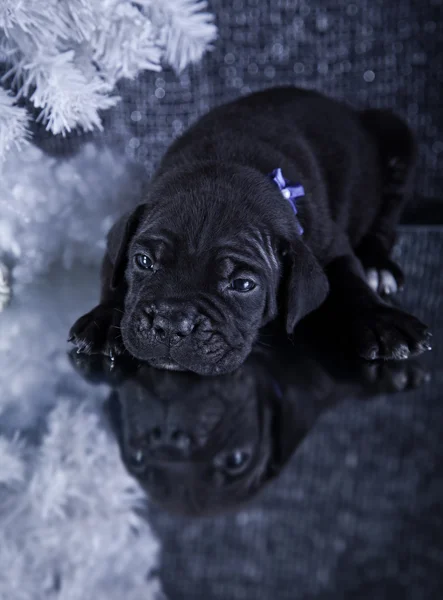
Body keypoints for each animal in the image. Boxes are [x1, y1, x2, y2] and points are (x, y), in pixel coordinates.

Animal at [68, 86, 430, 372]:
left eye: (243, 284)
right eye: (143, 262)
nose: (171, 324)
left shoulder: (330, 247)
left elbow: (350, 279)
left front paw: (381, 320)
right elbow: (114, 281)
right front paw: (103, 321)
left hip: (397, 138)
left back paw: (378, 265)